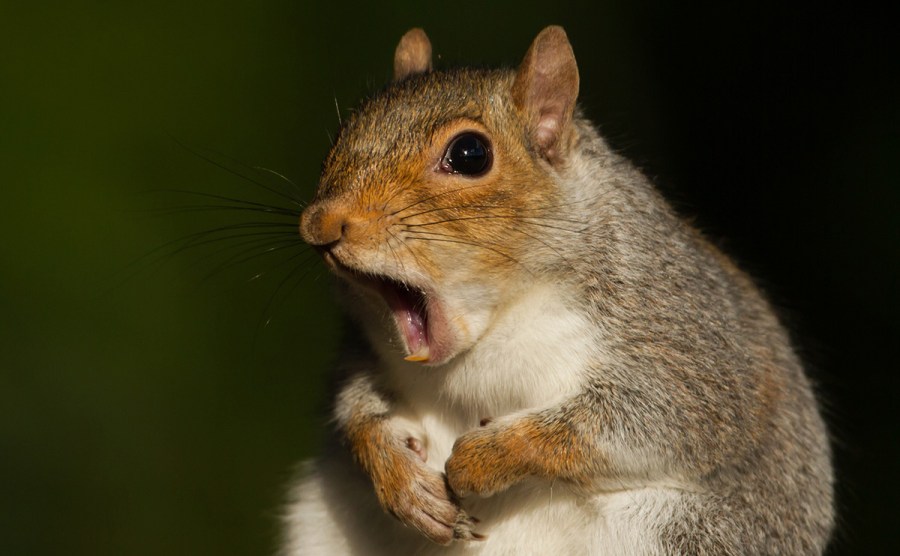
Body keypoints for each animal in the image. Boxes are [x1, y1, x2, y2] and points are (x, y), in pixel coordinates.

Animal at [282, 26, 835, 555]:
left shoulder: (681, 338)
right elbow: (356, 406)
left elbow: (647, 420)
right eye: (345, 131)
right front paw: (399, 477)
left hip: (682, 533)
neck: (493, 327)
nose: (320, 224)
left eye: (470, 154)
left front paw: (484, 458)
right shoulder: (364, 350)